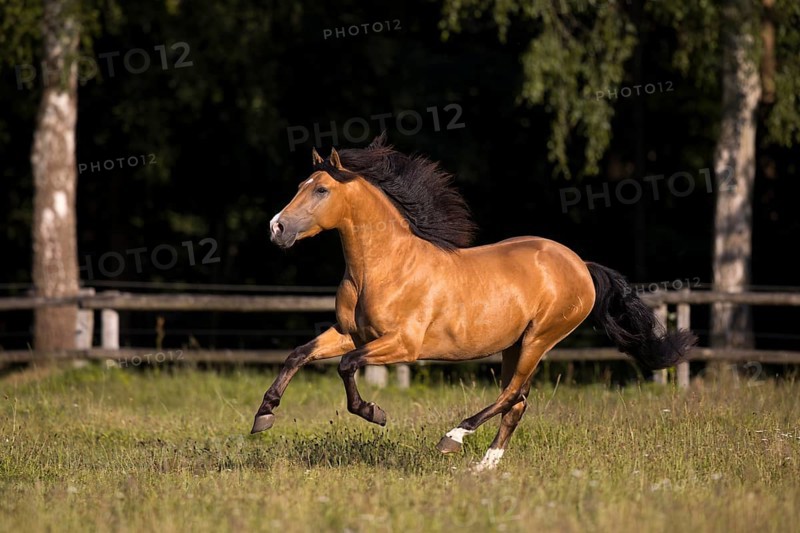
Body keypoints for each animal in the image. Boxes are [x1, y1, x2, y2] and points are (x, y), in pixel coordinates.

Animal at [251, 133, 697, 471]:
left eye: (321, 189)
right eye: (299, 187)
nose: (276, 228)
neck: (384, 267)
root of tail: (580, 265)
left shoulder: (402, 346)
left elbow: (346, 366)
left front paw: (374, 413)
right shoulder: (351, 333)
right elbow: (299, 354)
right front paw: (264, 415)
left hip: (540, 338)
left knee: (511, 395)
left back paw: (454, 438)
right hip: (515, 345)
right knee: (517, 402)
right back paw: (485, 466)